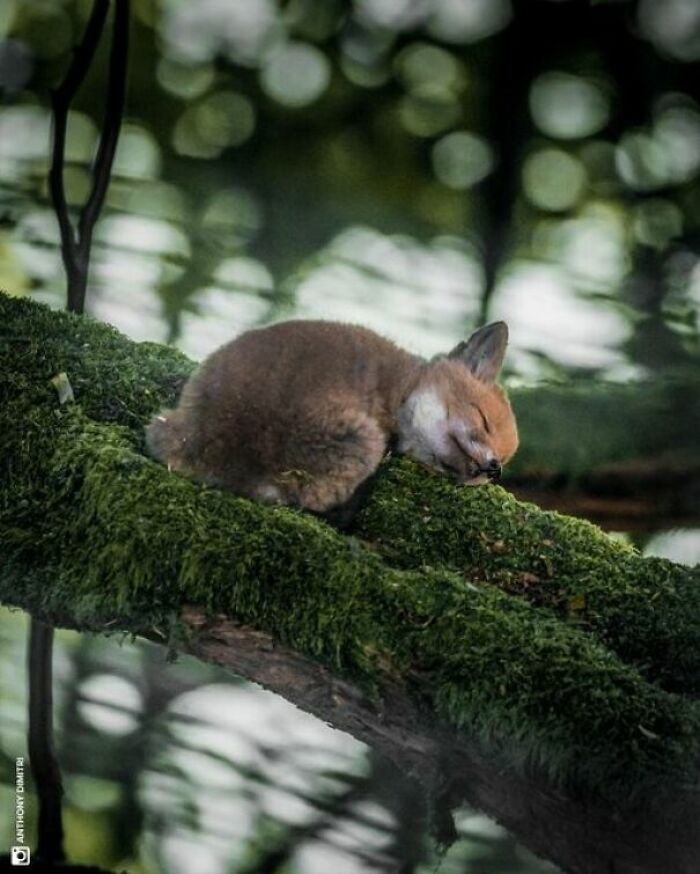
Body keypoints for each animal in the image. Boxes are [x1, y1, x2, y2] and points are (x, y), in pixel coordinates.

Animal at [146, 320, 520, 520]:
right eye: (483, 419)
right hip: (364, 443)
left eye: (503, 459)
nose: (494, 468)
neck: (400, 388)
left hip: (163, 423)